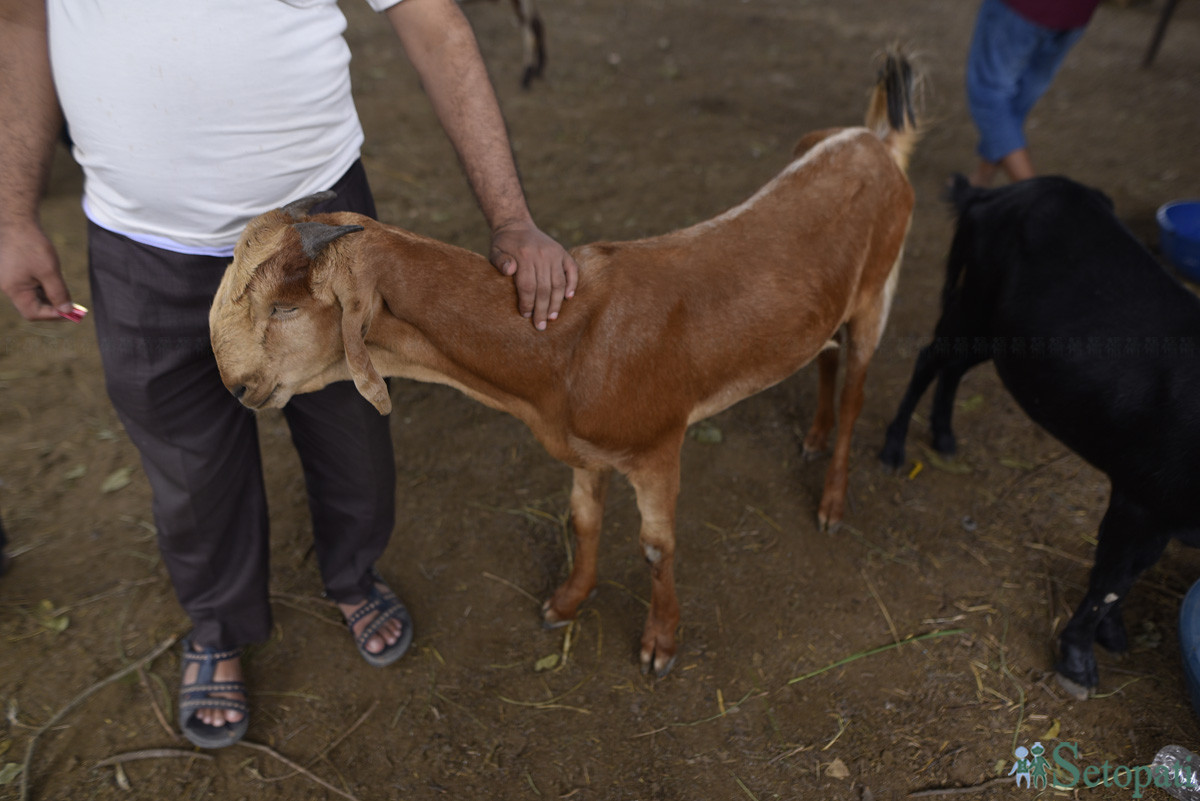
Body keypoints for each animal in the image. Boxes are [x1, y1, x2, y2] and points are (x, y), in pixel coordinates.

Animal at [211, 50, 916, 676]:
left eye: (285, 306)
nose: (236, 385)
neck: (566, 342)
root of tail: (877, 141)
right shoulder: (586, 450)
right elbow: (583, 519)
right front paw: (568, 602)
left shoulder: (658, 446)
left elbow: (657, 545)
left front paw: (660, 642)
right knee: (824, 359)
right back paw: (814, 435)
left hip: (877, 292)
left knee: (856, 389)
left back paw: (832, 500)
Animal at [878, 173, 1200, 695]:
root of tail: (994, 195)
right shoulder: (1141, 498)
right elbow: (1111, 579)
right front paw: (1077, 664)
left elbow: (1125, 573)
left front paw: (1111, 636)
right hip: (971, 302)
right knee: (930, 358)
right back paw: (892, 448)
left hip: (999, 334)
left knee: (955, 367)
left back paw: (944, 436)